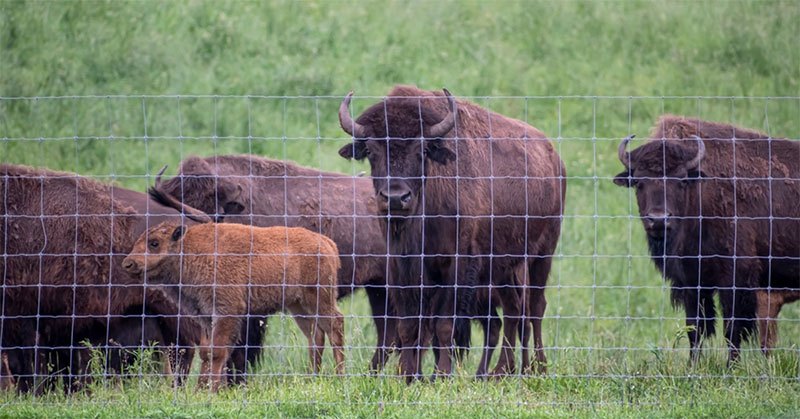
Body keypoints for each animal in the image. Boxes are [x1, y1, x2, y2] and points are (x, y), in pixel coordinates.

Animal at [338, 85, 568, 380]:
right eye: (371, 150)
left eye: (422, 150)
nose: (396, 198)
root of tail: (554, 158)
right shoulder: (402, 268)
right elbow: (409, 326)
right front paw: (408, 376)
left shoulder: (457, 266)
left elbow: (443, 325)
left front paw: (441, 376)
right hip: (505, 266)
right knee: (515, 310)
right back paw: (501, 372)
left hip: (542, 254)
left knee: (536, 307)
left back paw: (537, 369)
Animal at [616, 115, 796, 364]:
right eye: (639, 181)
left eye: (682, 180)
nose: (659, 219)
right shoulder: (692, 282)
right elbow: (695, 329)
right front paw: (692, 366)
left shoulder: (735, 279)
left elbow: (732, 329)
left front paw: (731, 368)